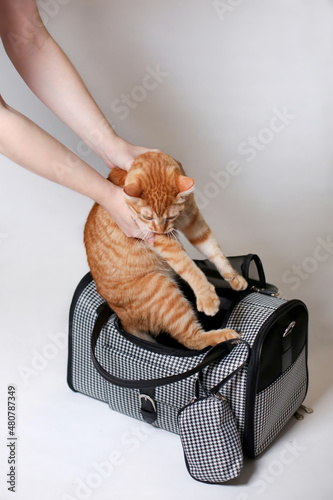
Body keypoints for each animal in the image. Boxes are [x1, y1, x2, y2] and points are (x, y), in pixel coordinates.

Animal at [84, 150, 246, 350]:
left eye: (171, 216)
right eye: (147, 217)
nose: (159, 230)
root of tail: (124, 319)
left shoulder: (193, 221)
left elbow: (214, 250)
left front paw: (233, 277)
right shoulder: (161, 240)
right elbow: (189, 267)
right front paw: (206, 296)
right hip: (163, 289)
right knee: (191, 339)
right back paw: (223, 336)